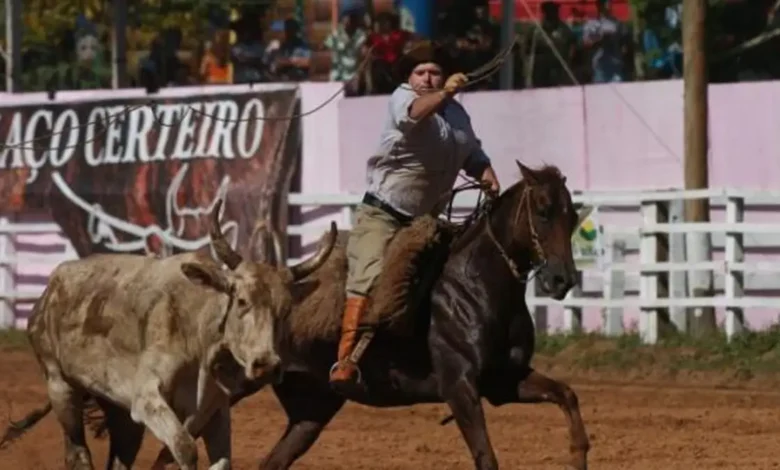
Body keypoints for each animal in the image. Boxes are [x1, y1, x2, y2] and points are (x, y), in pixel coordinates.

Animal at [100, 161, 592, 466]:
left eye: (573, 215)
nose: (561, 280)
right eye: (543, 211)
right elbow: (486, 455)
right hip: (227, 391)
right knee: (168, 449)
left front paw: (579, 453)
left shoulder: (502, 383)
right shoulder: (460, 387)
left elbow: (567, 394)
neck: (475, 287)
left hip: (310, 411)